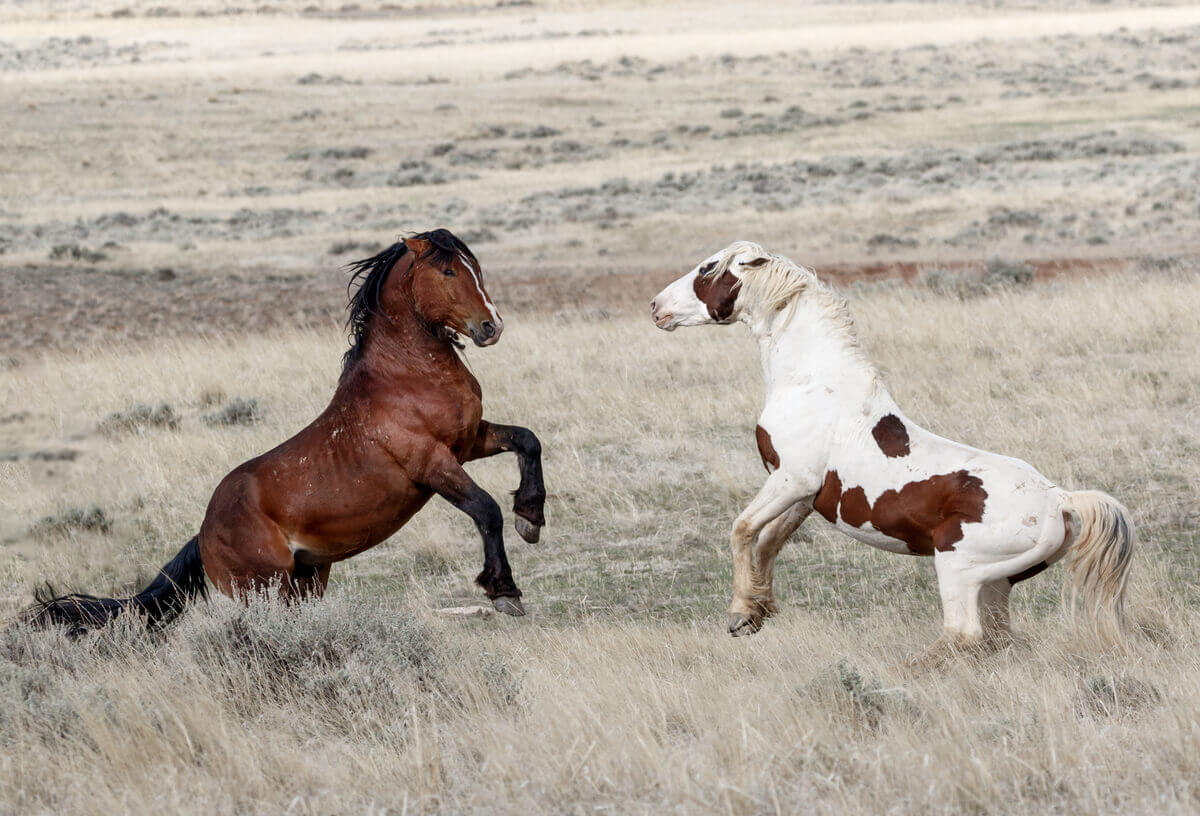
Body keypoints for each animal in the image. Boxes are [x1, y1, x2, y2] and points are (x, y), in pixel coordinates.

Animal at [27, 228, 545, 631]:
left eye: (474, 266)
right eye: (448, 272)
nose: (492, 326)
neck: (407, 375)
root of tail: (203, 534)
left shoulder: (469, 441)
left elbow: (527, 441)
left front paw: (532, 516)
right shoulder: (431, 463)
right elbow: (486, 510)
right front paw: (504, 591)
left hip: (307, 580)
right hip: (267, 589)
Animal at [650, 241, 1133, 648]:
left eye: (708, 267)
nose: (656, 308)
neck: (813, 384)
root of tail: (1061, 501)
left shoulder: (790, 481)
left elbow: (743, 529)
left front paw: (738, 613)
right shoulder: (803, 495)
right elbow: (769, 540)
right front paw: (758, 611)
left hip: (957, 568)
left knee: (963, 636)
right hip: (996, 583)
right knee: (995, 640)